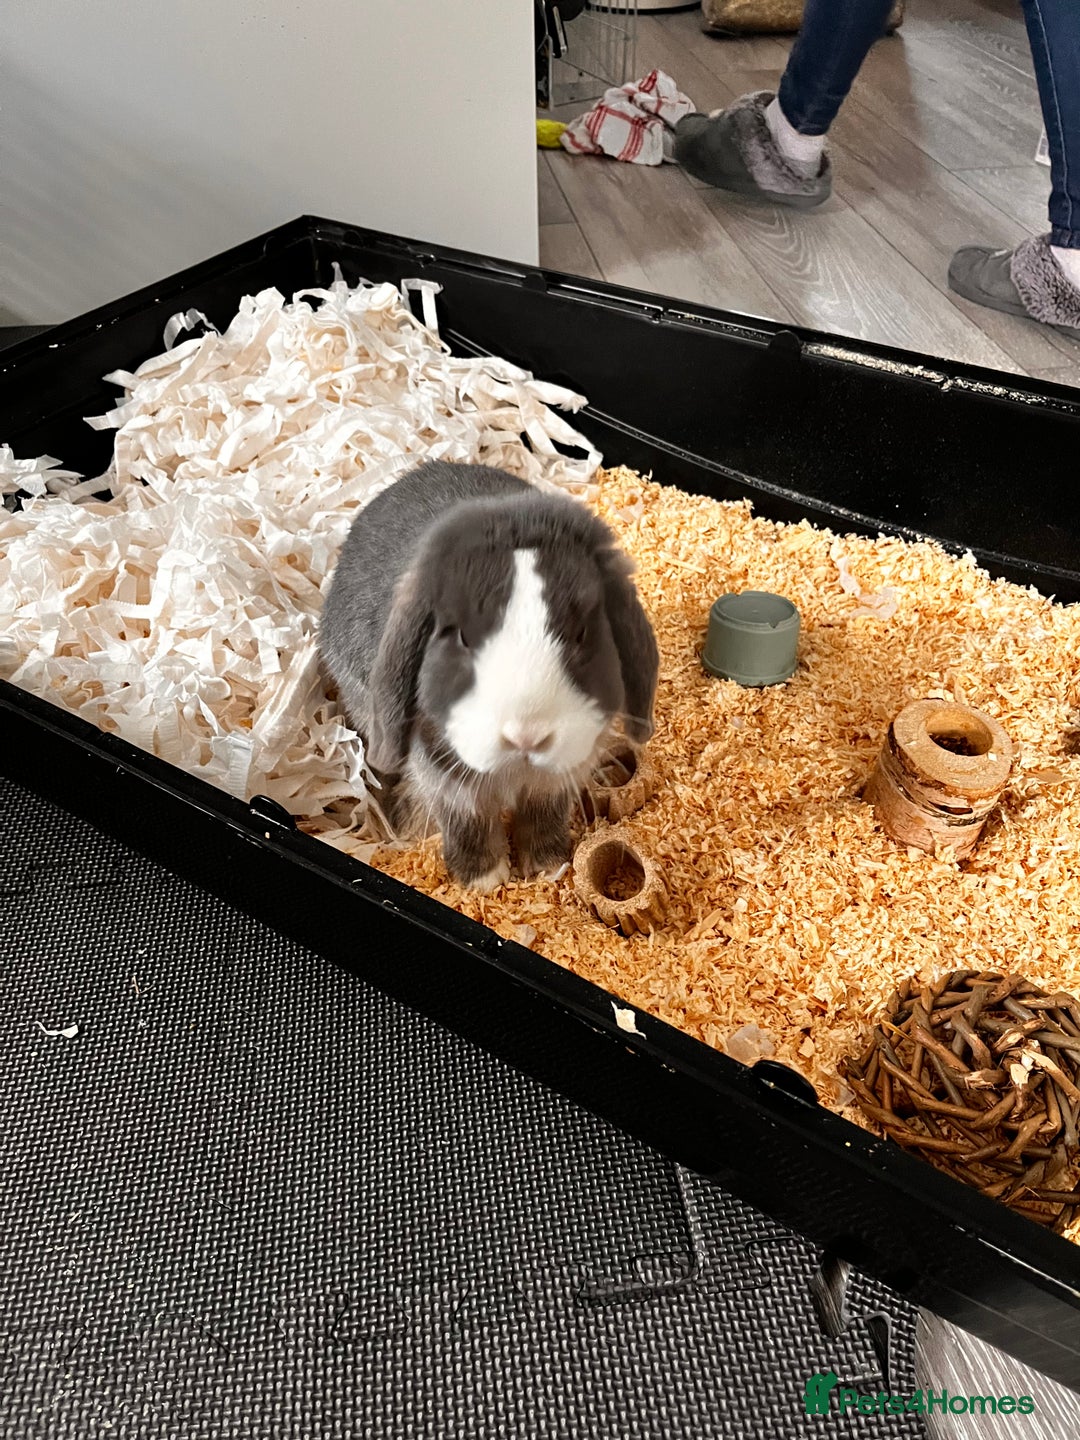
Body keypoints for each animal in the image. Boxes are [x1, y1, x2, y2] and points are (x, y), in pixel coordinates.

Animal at [318, 460, 659, 891]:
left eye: (582, 632)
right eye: (462, 635)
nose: (526, 735)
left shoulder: (557, 777)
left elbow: (543, 814)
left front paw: (547, 866)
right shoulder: (447, 777)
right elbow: (469, 822)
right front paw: (484, 879)